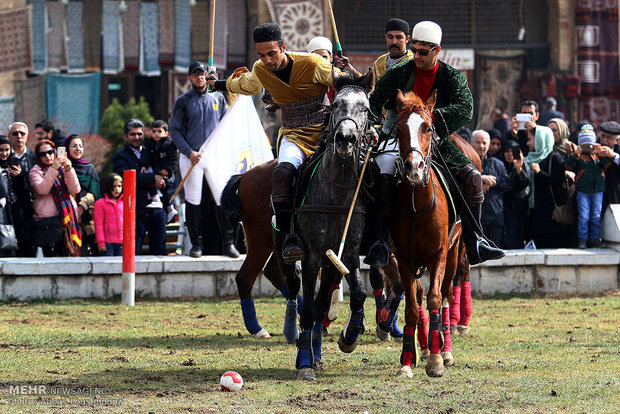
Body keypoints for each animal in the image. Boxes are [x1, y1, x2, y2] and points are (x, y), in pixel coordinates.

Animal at [390, 91, 482, 378]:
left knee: (446, 294)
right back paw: (424, 347)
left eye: (427, 128)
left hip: (455, 250)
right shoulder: (404, 258)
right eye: (398, 129)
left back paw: (445, 348)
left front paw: (436, 360)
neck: (417, 206)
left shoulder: (439, 254)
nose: (414, 166)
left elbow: (435, 297)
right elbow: (412, 305)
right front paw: (407, 361)